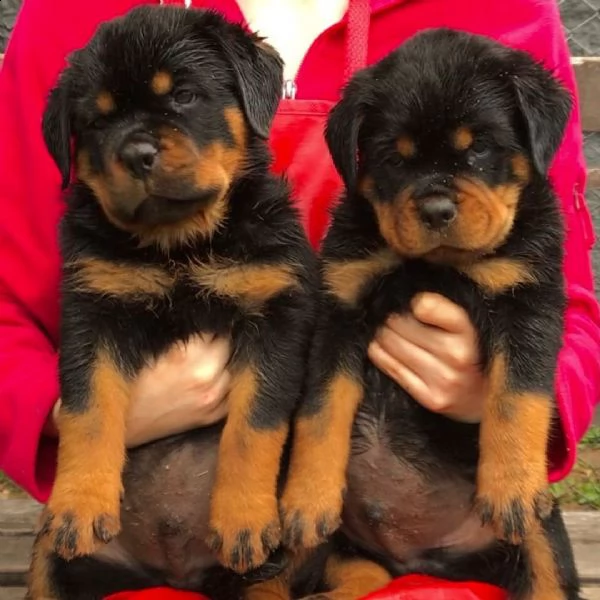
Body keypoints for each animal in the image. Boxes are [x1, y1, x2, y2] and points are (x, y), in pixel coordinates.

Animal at [27, 5, 318, 600]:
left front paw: (243, 518)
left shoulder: (277, 311)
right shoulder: (94, 310)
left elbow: (255, 424)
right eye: (97, 122)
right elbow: (88, 410)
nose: (137, 152)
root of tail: (172, 573)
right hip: (49, 565)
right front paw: (79, 506)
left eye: (183, 96)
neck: (179, 244)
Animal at [280, 29, 580, 600]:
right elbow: (320, 410)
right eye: (393, 159)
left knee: (547, 572)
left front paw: (510, 485)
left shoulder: (527, 300)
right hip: (345, 554)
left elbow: (517, 398)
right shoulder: (342, 306)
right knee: (358, 576)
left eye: (479, 148)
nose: (437, 209)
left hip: (541, 533)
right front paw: (306, 497)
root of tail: (423, 560)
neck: (434, 266)